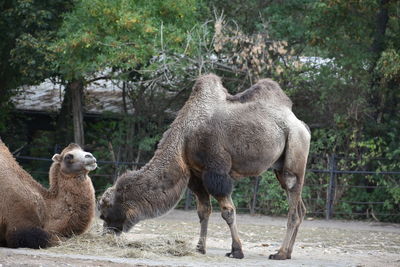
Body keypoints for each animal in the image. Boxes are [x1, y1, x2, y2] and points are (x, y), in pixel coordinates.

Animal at [98, 74, 310, 260]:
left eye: (105, 213)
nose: (106, 234)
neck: (184, 139)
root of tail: (302, 125)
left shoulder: (215, 172)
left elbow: (227, 212)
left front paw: (236, 251)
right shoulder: (196, 176)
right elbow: (203, 211)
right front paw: (200, 248)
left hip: (295, 148)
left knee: (293, 203)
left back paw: (280, 253)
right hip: (280, 165)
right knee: (300, 208)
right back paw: (288, 253)